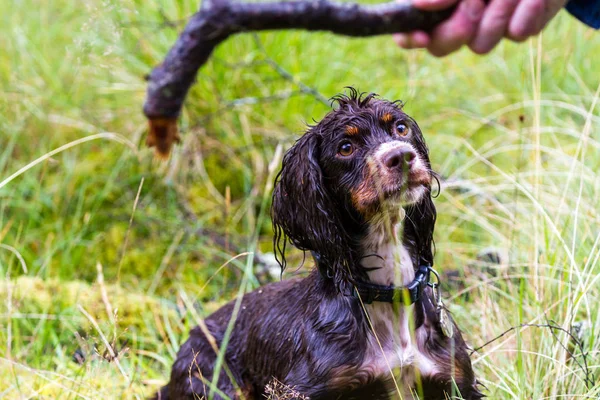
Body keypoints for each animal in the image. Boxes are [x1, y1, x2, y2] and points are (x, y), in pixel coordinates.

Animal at [156, 89, 482, 398]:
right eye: (345, 147)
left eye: (400, 129)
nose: (401, 156)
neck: (385, 292)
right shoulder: (298, 389)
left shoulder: (456, 381)